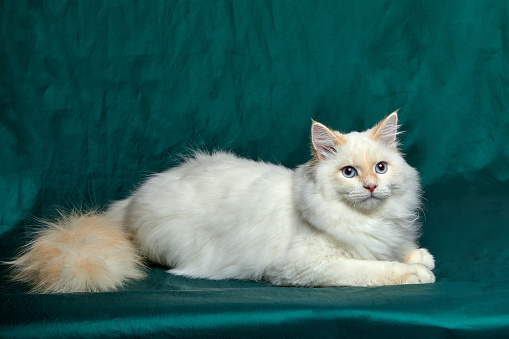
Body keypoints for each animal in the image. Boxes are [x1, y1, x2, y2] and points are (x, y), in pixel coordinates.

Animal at [6, 111, 432, 292]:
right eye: (349, 173)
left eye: (380, 168)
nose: (372, 188)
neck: (368, 219)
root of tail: (126, 203)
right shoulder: (306, 265)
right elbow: (371, 269)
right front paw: (415, 273)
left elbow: (398, 250)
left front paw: (419, 257)